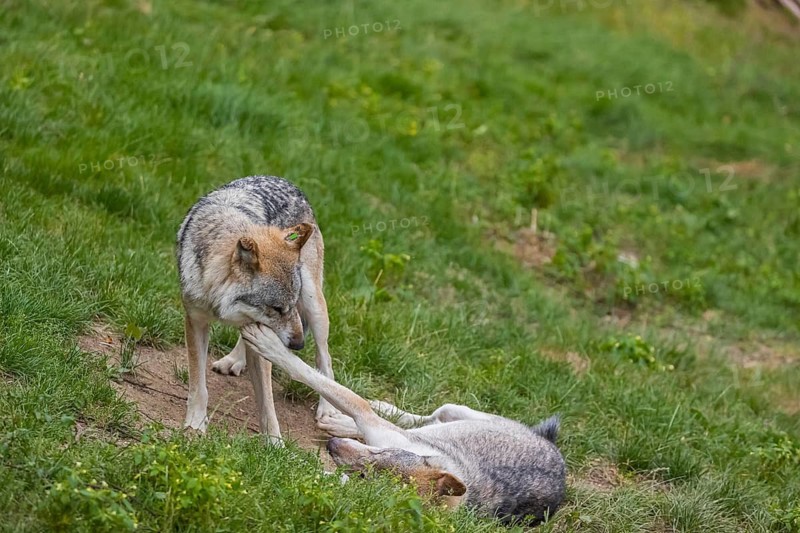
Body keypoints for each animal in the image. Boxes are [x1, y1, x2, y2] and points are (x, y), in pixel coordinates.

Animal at [176, 176, 340, 438]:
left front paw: (275, 443)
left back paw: (327, 409)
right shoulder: (196, 322)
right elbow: (198, 385)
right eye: (277, 308)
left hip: (314, 305)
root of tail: (287, 182)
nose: (298, 345)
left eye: (289, 306)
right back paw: (234, 360)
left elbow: (267, 403)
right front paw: (195, 424)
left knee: (325, 358)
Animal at [241, 323, 566, 525]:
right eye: (380, 455)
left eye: (367, 477)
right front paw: (270, 344)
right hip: (455, 410)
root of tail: (553, 446)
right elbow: (333, 387)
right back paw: (349, 419)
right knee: (426, 416)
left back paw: (340, 425)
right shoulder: (378, 431)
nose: (333, 447)